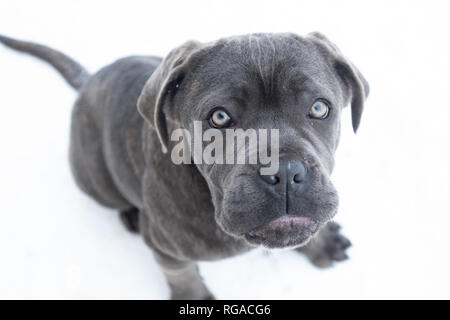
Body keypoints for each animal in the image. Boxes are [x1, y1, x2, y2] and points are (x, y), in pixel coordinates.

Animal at [0, 31, 370, 298]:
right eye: (219, 117)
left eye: (320, 108)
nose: (285, 171)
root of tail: (89, 81)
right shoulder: (167, 251)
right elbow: (182, 274)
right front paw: (194, 296)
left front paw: (323, 243)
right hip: (95, 179)